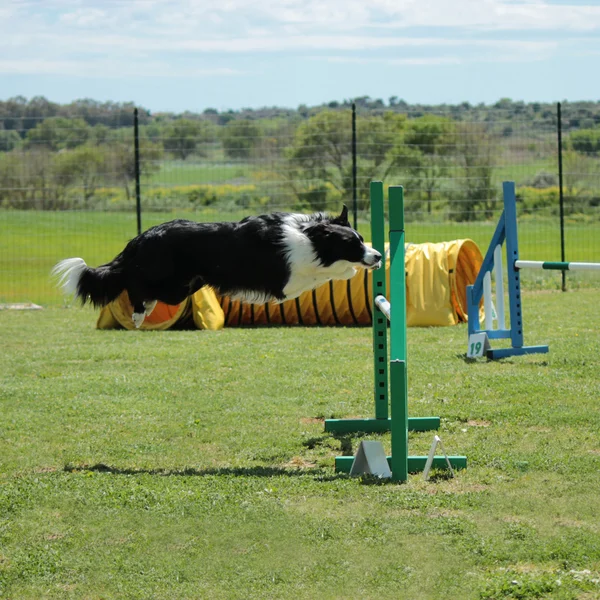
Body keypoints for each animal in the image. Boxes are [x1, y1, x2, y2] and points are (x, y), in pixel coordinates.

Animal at [51, 205, 380, 328]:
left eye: (362, 240)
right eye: (353, 244)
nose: (377, 256)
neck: (309, 236)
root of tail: (142, 237)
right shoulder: (288, 282)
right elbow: (329, 272)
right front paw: (350, 269)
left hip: (186, 286)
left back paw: (144, 311)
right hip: (171, 283)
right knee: (134, 283)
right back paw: (138, 314)